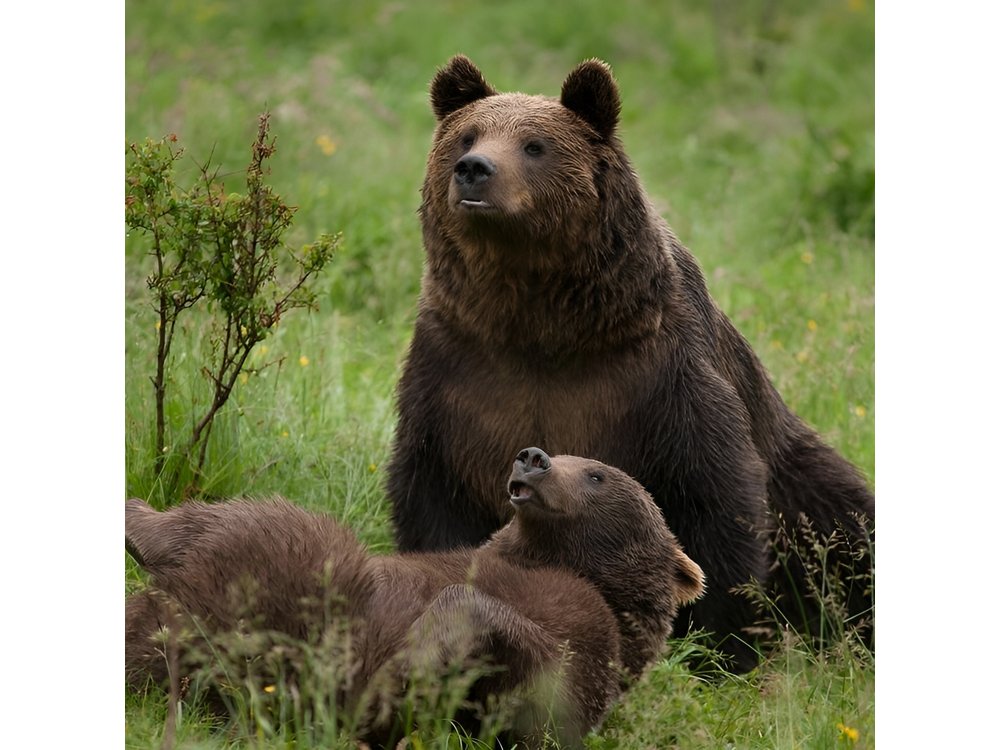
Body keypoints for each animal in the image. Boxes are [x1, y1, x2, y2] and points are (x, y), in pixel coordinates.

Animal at [125, 448, 704, 747]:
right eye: (560, 452)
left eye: (596, 472)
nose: (534, 457)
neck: (556, 559)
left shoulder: (590, 637)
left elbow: (539, 691)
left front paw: (413, 657)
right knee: (218, 521)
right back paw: (136, 519)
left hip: (310, 591)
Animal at [385, 55, 875, 671]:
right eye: (467, 136)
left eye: (534, 145)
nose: (473, 169)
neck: (540, 323)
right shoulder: (456, 370)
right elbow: (434, 491)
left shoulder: (657, 372)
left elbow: (711, 494)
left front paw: (717, 647)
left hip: (800, 479)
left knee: (846, 529)